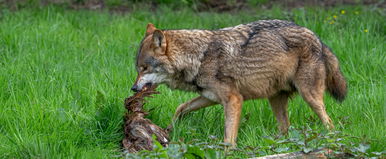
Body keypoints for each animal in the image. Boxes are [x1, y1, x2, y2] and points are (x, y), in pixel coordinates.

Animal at [131, 19, 348, 147]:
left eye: (144, 68)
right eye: (138, 68)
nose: (133, 88)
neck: (199, 57)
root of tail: (318, 39)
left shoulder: (233, 99)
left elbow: (228, 135)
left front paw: (228, 152)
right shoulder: (210, 97)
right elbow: (180, 108)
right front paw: (167, 132)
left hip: (309, 97)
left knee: (329, 122)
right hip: (275, 100)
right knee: (286, 129)